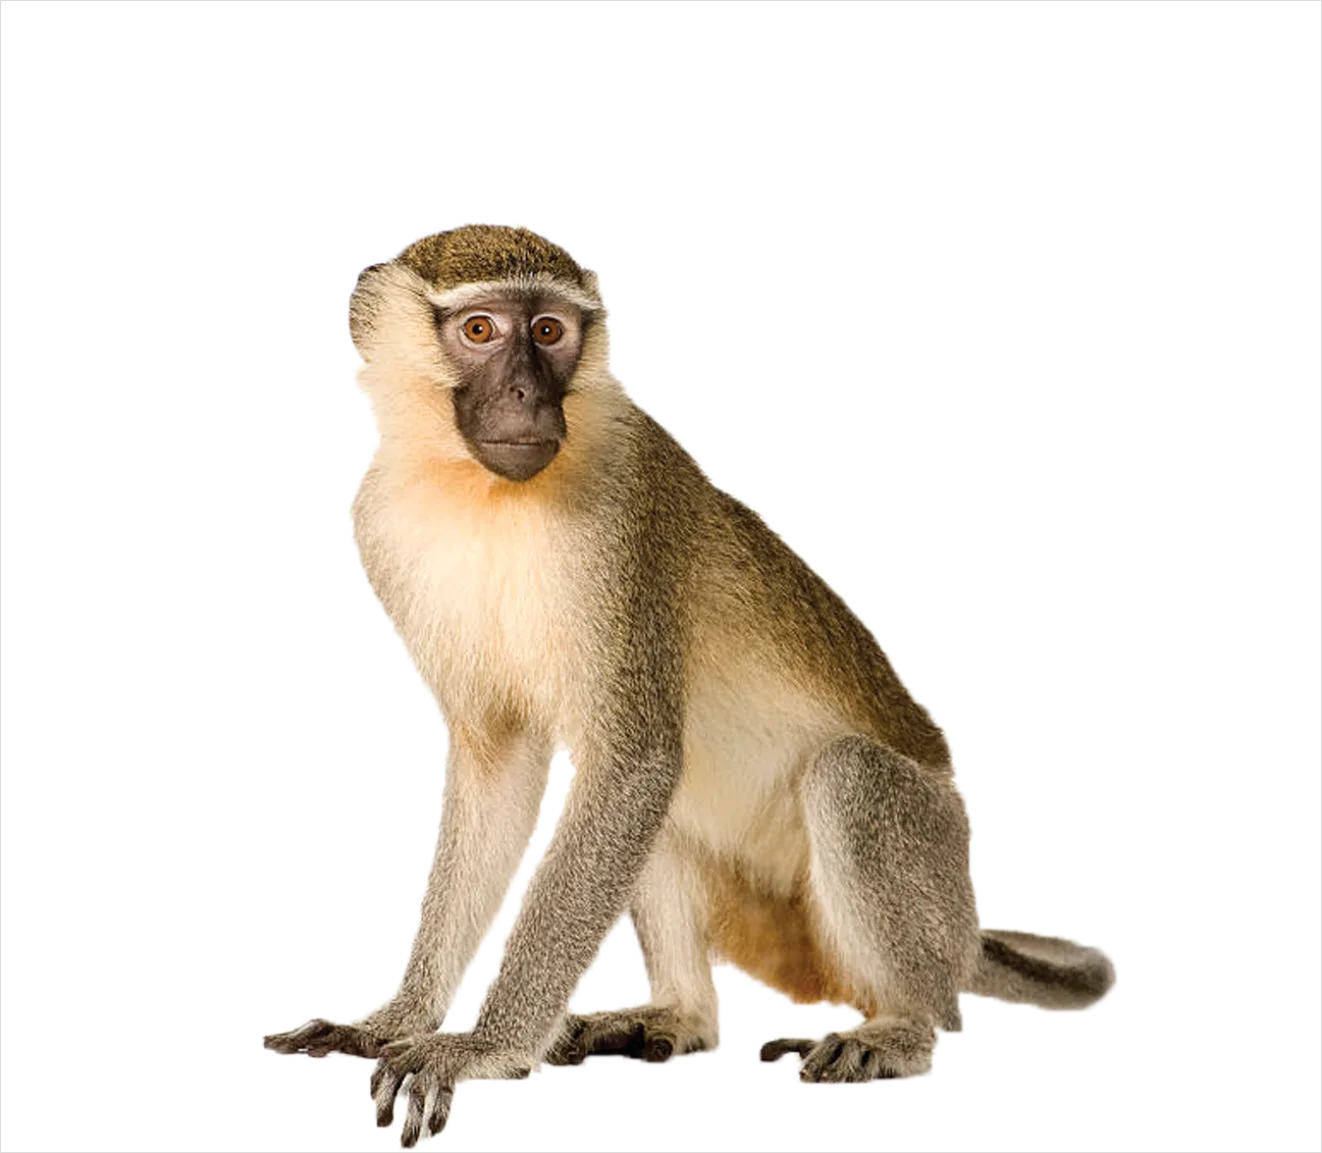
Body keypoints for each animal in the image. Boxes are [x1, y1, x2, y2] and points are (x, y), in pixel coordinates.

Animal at [264, 222, 1115, 1148]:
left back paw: (907, 1025)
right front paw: (394, 1020)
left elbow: (632, 763)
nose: (527, 394)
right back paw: (681, 1014)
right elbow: (504, 770)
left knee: (844, 778)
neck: (478, 489)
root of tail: (962, 921)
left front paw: (476, 1047)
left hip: (928, 858)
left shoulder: (620, 513)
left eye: (550, 333)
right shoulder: (381, 522)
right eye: (481, 331)